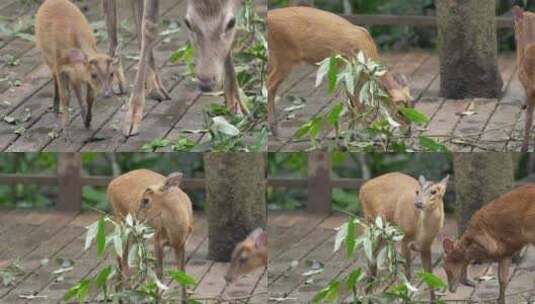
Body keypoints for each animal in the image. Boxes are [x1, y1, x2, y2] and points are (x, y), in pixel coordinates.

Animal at [35, 0, 121, 140]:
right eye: (94, 75)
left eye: (112, 73)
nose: (107, 93)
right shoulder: (60, 67)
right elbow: (65, 97)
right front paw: (66, 132)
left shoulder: (80, 74)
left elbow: (89, 97)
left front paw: (88, 121)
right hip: (46, 55)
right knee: (54, 77)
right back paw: (55, 108)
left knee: (76, 88)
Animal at [101, 0, 248, 136]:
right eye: (187, 22)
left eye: (231, 23)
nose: (206, 83)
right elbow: (149, 25)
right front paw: (132, 117)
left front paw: (236, 103)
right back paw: (118, 78)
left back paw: (154, 85)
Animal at [108, 169, 194, 302]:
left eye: (145, 200)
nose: (134, 218)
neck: (176, 231)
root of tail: (111, 184)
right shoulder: (157, 239)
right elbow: (159, 273)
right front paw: (156, 298)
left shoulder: (181, 243)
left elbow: (182, 273)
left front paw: (184, 300)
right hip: (121, 223)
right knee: (122, 258)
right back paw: (124, 294)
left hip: (135, 233)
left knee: (126, 259)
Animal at [268, 6, 414, 135]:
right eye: (400, 111)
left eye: (412, 106)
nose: (409, 131)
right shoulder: (346, 71)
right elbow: (356, 105)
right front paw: (361, 133)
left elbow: (354, 104)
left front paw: (353, 132)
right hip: (284, 56)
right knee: (270, 84)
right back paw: (274, 129)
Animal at [360, 171, 448, 302]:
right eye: (417, 191)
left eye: (434, 191)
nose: (418, 203)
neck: (420, 232)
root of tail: (362, 188)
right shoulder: (405, 237)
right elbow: (407, 273)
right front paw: (405, 297)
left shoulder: (426, 246)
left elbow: (429, 274)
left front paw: (433, 300)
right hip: (374, 223)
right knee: (370, 254)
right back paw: (368, 293)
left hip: (385, 233)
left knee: (374, 255)